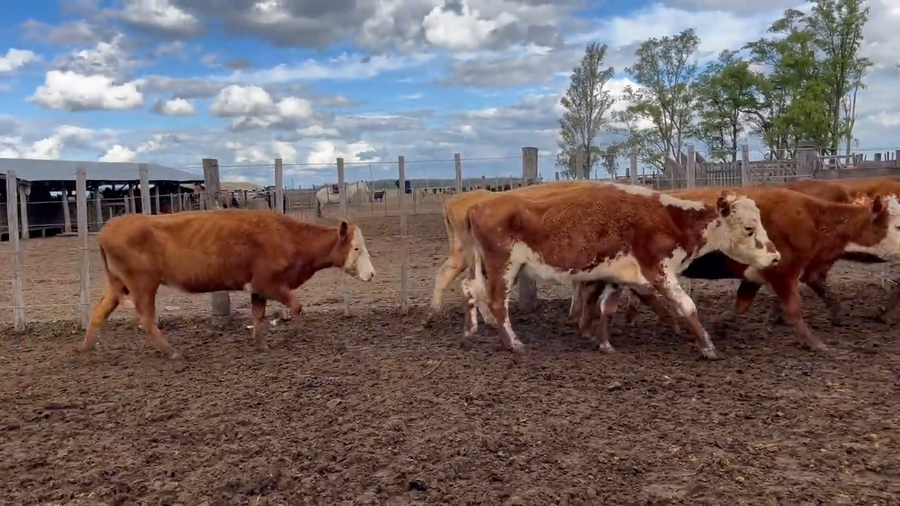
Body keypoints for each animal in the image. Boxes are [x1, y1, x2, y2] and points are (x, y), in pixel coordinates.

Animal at [79, 209, 376, 359]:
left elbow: (258, 315)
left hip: (118, 283)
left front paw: (260, 344)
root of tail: (107, 229)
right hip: (142, 284)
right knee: (146, 317)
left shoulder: (258, 288)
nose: (372, 274)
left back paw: (86, 348)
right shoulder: (268, 282)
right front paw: (298, 332)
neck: (288, 237)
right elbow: (296, 305)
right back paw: (172, 352)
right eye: (357, 248)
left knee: (100, 311)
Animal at [461, 183, 781, 359]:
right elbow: (687, 306)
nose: (775, 257)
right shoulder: (658, 271)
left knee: (472, 291)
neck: (669, 219)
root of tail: (478, 205)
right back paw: (513, 343)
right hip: (503, 265)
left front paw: (604, 343)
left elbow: (607, 308)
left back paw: (473, 329)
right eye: (749, 228)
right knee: (497, 303)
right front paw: (708, 347)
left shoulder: (619, 275)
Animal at [576, 187, 900, 353]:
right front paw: (816, 343)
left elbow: (742, 305)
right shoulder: (785, 272)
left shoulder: (761, 273)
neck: (810, 217)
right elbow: (795, 308)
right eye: (897, 225)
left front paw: (722, 324)